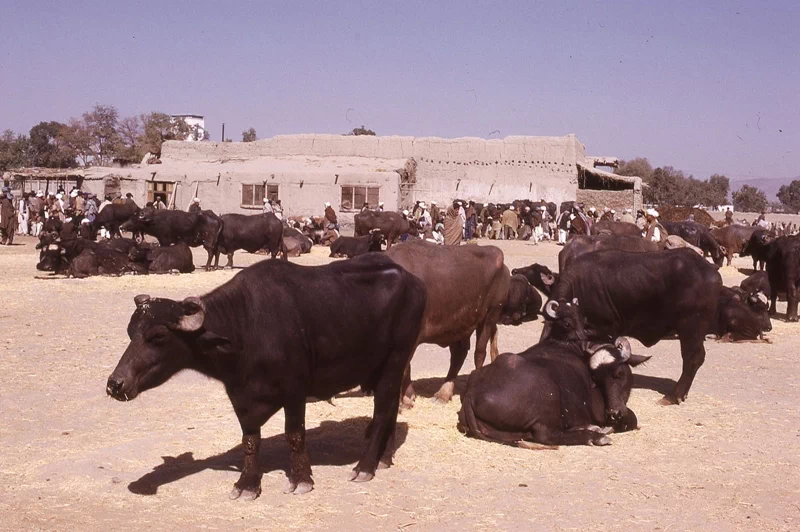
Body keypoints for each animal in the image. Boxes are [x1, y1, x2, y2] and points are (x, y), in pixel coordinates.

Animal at [110, 254, 432, 498]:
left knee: (383, 412)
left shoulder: (295, 391)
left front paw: (301, 479)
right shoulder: (241, 398)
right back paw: (384, 458)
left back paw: (365, 466)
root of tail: (413, 281)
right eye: (130, 331)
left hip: (395, 361)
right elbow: (250, 441)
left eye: (158, 336)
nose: (115, 384)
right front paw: (247, 484)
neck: (244, 329)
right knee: (390, 410)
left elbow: (295, 435)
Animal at [390, 241, 512, 408]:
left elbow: (403, 369)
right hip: (460, 326)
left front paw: (405, 400)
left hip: (489, 317)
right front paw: (409, 396)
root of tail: (499, 258)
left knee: (479, 353)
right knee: (458, 354)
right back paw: (443, 393)